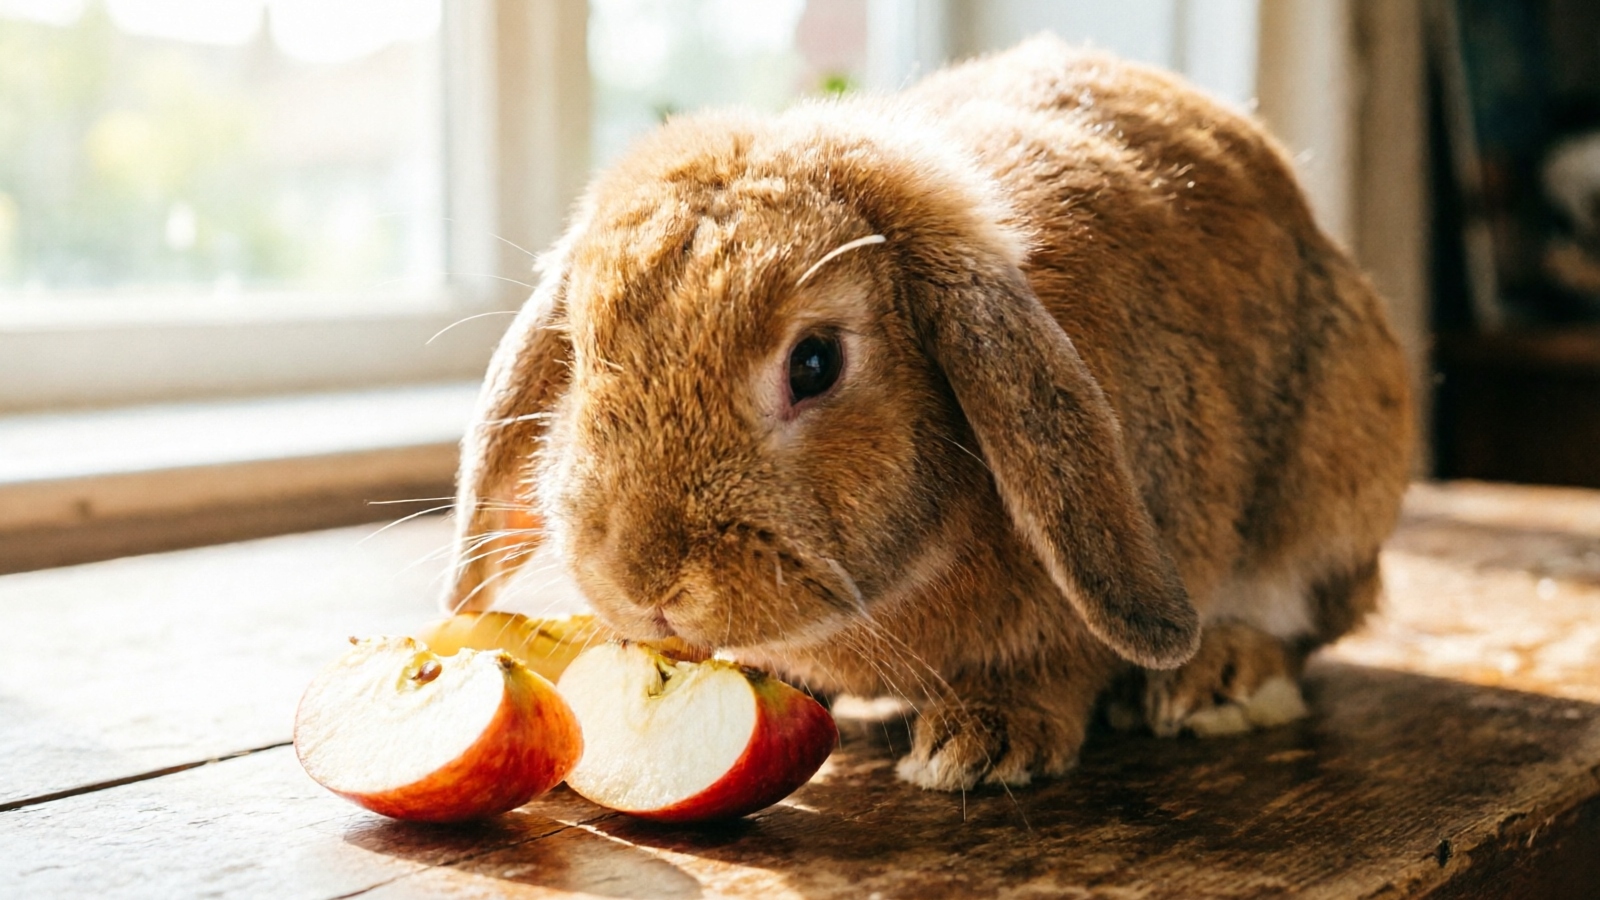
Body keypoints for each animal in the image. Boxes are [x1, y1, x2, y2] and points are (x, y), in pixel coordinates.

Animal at [443, 36, 1414, 791]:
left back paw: (1220, 679)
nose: (645, 583)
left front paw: (983, 743)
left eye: (814, 363)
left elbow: (1062, 662)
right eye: (579, 352)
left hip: (1328, 494)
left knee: (1308, 623)